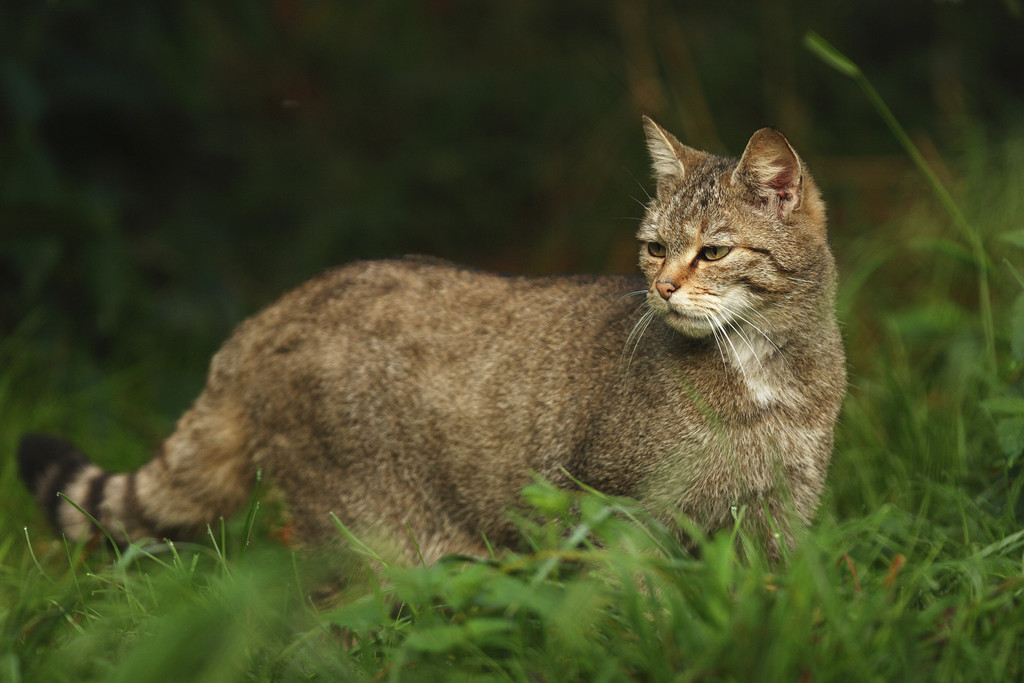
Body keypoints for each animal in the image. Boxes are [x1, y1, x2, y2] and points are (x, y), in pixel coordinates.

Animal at [18, 120, 847, 565]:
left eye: (712, 251)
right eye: (652, 248)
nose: (663, 289)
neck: (768, 373)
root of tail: (274, 309)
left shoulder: (779, 518)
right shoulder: (619, 510)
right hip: (361, 535)